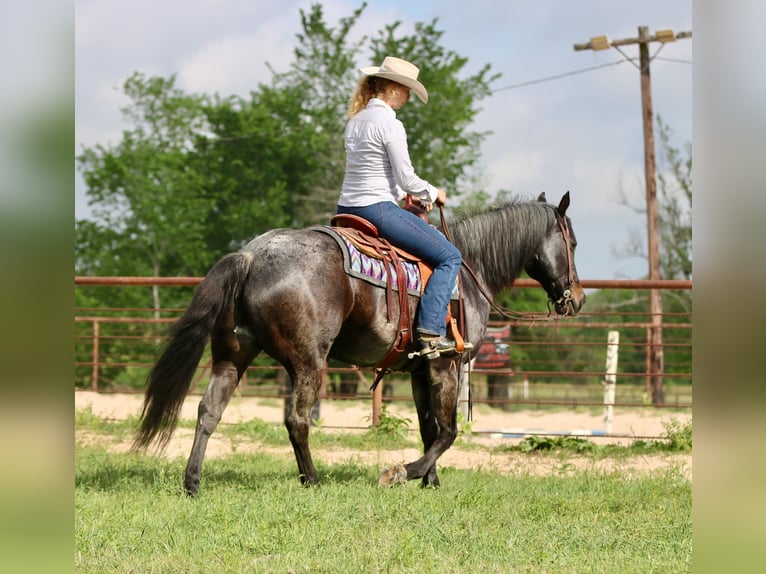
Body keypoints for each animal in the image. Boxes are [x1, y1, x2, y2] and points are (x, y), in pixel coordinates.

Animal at [132, 192, 585, 495]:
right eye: (574, 243)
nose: (577, 298)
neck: (469, 270)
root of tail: (252, 255)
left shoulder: (418, 368)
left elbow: (429, 428)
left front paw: (431, 482)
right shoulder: (446, 364)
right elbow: (448, 431)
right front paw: (403, 472)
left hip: (233, 355)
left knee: (209, 412)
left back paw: (192, 482)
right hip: (308, 361)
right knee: (297, 420)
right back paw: (312, 480)